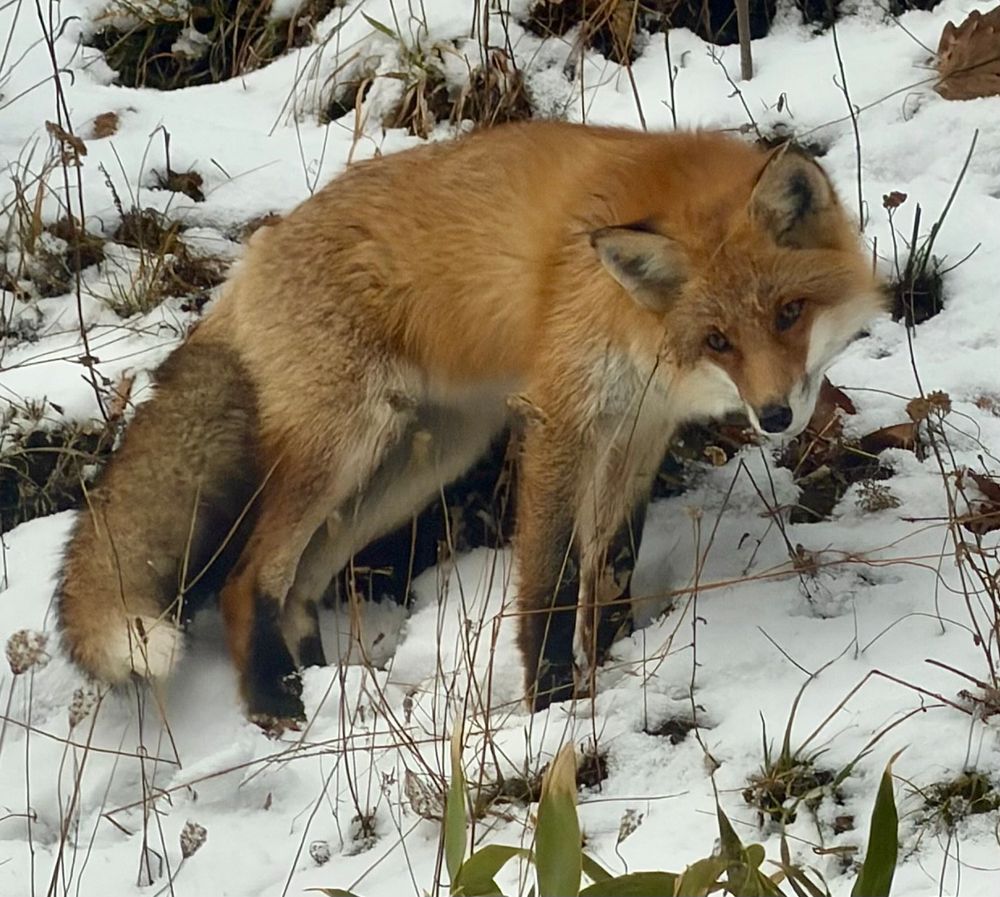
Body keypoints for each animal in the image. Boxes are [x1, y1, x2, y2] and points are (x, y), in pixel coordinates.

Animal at [57, 121, 883, 723]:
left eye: (789, 313)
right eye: (718, 340)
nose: (774, 415)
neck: (639, 328)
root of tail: (251, 258)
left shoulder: (637, 428)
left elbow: (611, 560)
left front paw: (613, 658)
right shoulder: (562, 418)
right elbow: (552, 578)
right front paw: (553, 703)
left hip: (418, 464)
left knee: (299, 584)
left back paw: (327, 691)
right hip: (347, 446)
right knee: (247, 576)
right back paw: (276, 704)